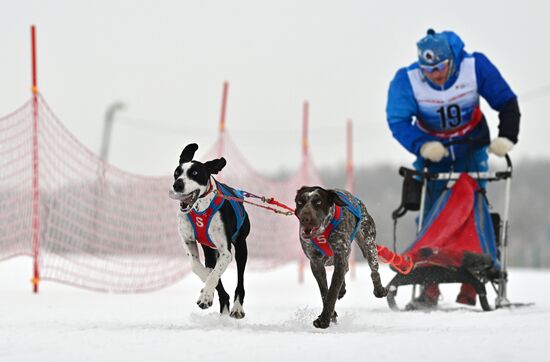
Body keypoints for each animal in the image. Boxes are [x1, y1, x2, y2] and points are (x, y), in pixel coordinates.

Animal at [171, 143, 251, 318]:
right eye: (177, 172)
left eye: (195, 173)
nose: (177, 185)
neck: (200, 208)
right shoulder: (188, 241)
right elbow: (197, 266)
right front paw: (207, 289)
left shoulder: (226, 252)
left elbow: (214, 273)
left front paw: (206, 295)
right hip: (209, 250)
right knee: (215, 276)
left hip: (241, 247)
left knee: (240, 281)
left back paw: (237, 307)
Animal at [296, 187, 390, 328]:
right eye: (300, 202)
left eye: (318, 202)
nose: (305, 219)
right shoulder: (316, 263)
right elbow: (325, 291)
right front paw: (330, 315)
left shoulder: (340, 256)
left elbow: (332, 290)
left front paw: (324, 320)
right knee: (346, 270)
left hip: (368, 245)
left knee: (374, 271)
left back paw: (379, 290)